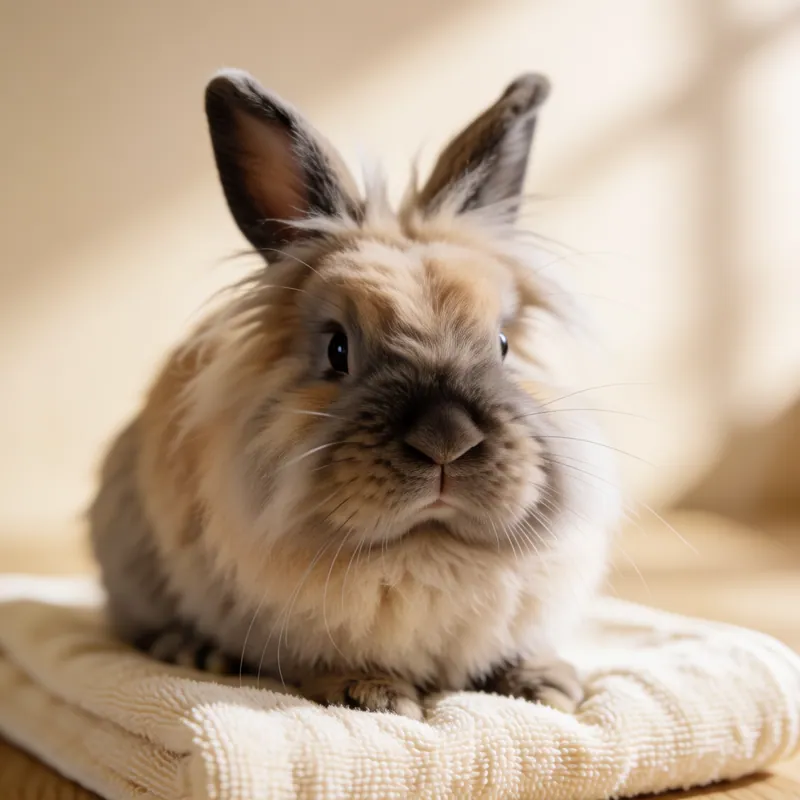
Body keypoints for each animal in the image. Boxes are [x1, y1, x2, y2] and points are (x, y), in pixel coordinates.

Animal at [89, 68, 620, 720]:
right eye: (338, 350)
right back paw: (192, 650)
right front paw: (374, 696)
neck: (427, 550)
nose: (447, 438)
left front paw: (549, 686)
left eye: (502, 344)